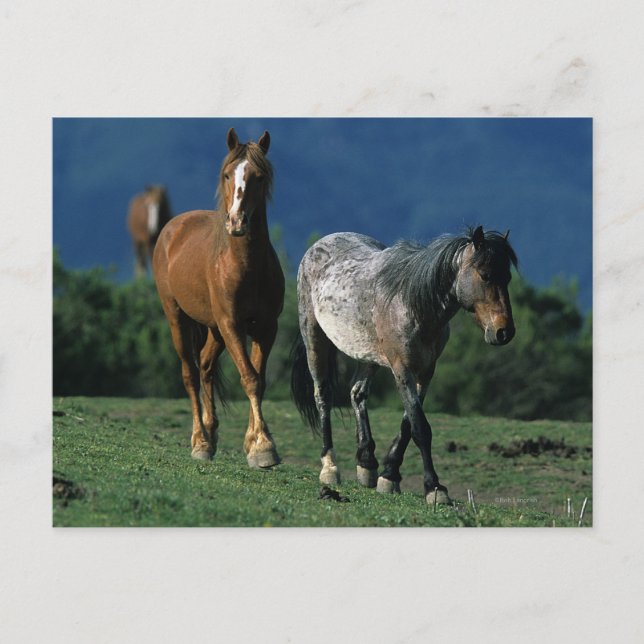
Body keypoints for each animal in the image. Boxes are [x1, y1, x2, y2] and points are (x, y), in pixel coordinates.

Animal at [153, 128, 284, 467]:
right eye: (227, 174)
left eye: (259, 177)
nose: (237, 221)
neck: (246, 266)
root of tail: (171, 228)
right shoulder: (232, 324)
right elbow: (249, 378)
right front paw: (263, 447)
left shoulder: (266, 327)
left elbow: (259, 380)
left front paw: (254, 443)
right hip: (177, 318)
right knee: (190, 373)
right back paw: (200, 440)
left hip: (214, 329)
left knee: (205, 366)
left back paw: (210, 435)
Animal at [291, 226, 517, 504]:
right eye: (485, 275)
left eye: (507, 277)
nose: (504, 332)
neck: (411, 303)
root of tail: (319, 244)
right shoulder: (402, 370)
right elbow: (420, 428)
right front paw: (434, 488)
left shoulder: (426, 372)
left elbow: (407, 425)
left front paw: (389, 476)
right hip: (314, 339)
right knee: (323, 396)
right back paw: (330, 469)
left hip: (368, 355)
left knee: (357, 393)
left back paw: (366, 463)